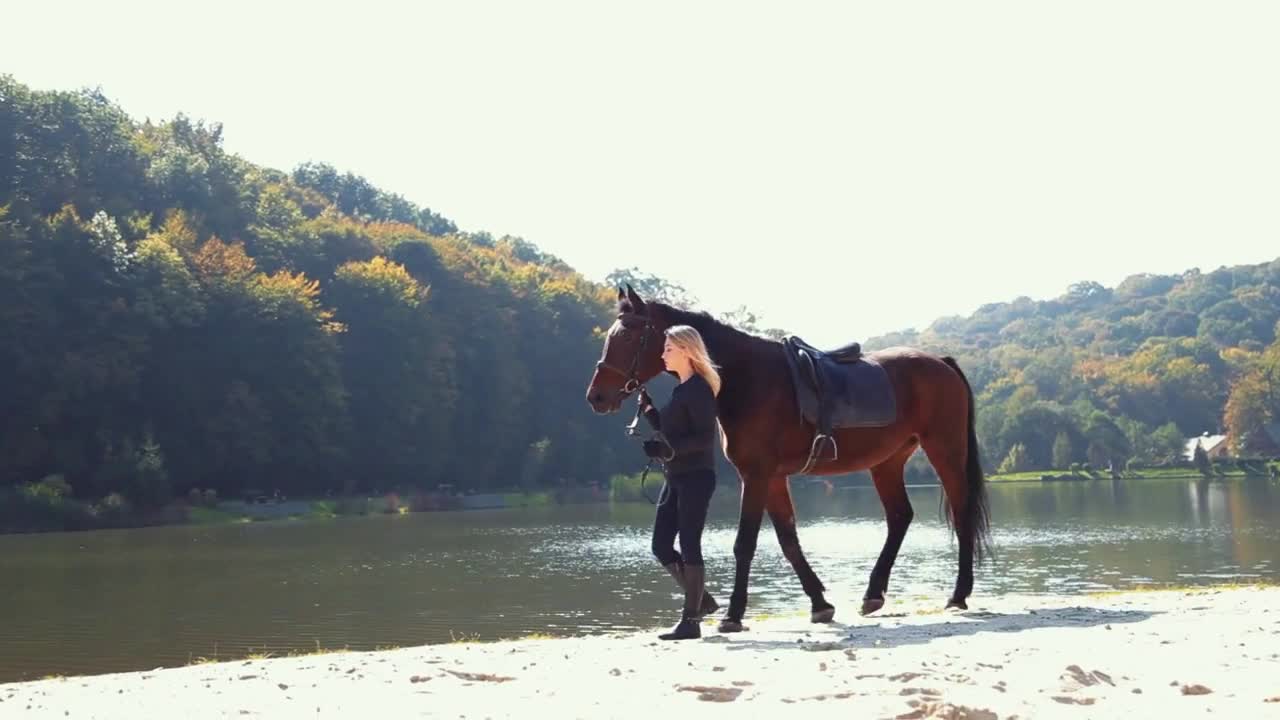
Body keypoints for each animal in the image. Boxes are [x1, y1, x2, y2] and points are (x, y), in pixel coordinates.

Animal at [586, 283, 993, 630]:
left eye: (627, 336)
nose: (596, 396)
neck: (746, 378)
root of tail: (941, 362)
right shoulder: (773, 478)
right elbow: (788, 540)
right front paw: (820, 604)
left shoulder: (757, 476)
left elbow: (745, 544)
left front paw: (733, 614)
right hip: (887, 462)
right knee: (900, 517)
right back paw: (873, 594)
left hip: (944, 449)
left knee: (960, 512)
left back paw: (958, 594)